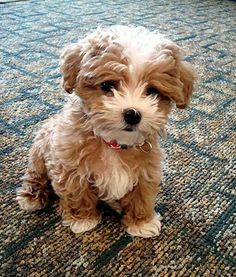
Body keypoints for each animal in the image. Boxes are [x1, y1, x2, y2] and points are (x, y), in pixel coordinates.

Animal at [15, 25, 195, 237]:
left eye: (152, 91)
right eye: (107, 85)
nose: (132, 114)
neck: (114, 143)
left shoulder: (147, 168)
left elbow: (141, 196)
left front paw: (142, 222)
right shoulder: (69, 164)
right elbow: (78, 192)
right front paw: (83, 219)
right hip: (39, 152)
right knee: (36, 176)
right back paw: (32, 196)